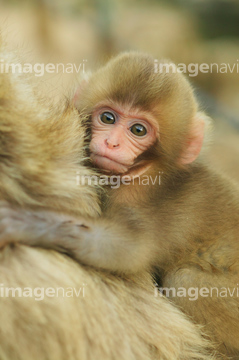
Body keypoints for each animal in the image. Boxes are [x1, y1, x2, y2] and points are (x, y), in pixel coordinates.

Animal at [0, 52, 239, 358]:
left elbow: (126, 251)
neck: (143, 170)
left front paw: (29, 222)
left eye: (138, 130)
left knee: (185, 280)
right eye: (108, 117)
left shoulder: (144, 199)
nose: (111, 143)